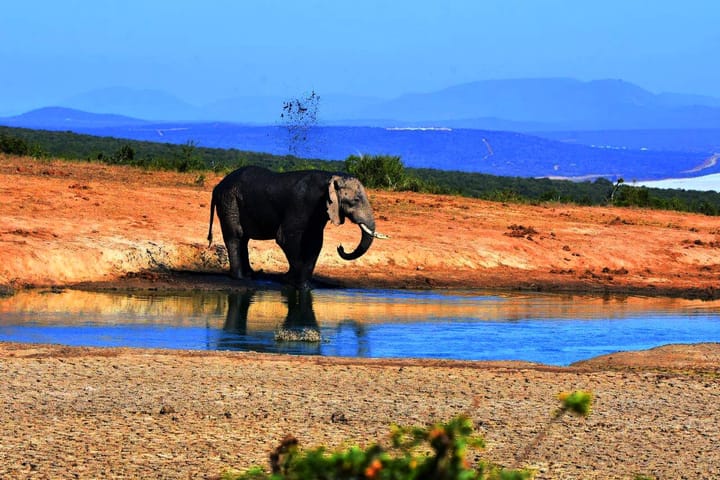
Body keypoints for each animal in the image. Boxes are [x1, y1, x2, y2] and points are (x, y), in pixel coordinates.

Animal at [207, 166, 385, 289]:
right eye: (355, 201)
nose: (340, 247)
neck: (330, 176)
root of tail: (217, 186)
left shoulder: (318, 211)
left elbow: (315, 242)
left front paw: (295, 283)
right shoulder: (302, 204)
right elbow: (285, 238)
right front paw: (299, 285)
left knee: (244, 238)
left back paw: (250, 275)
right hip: (229, 200)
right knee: (236, 235)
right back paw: (240, 278)